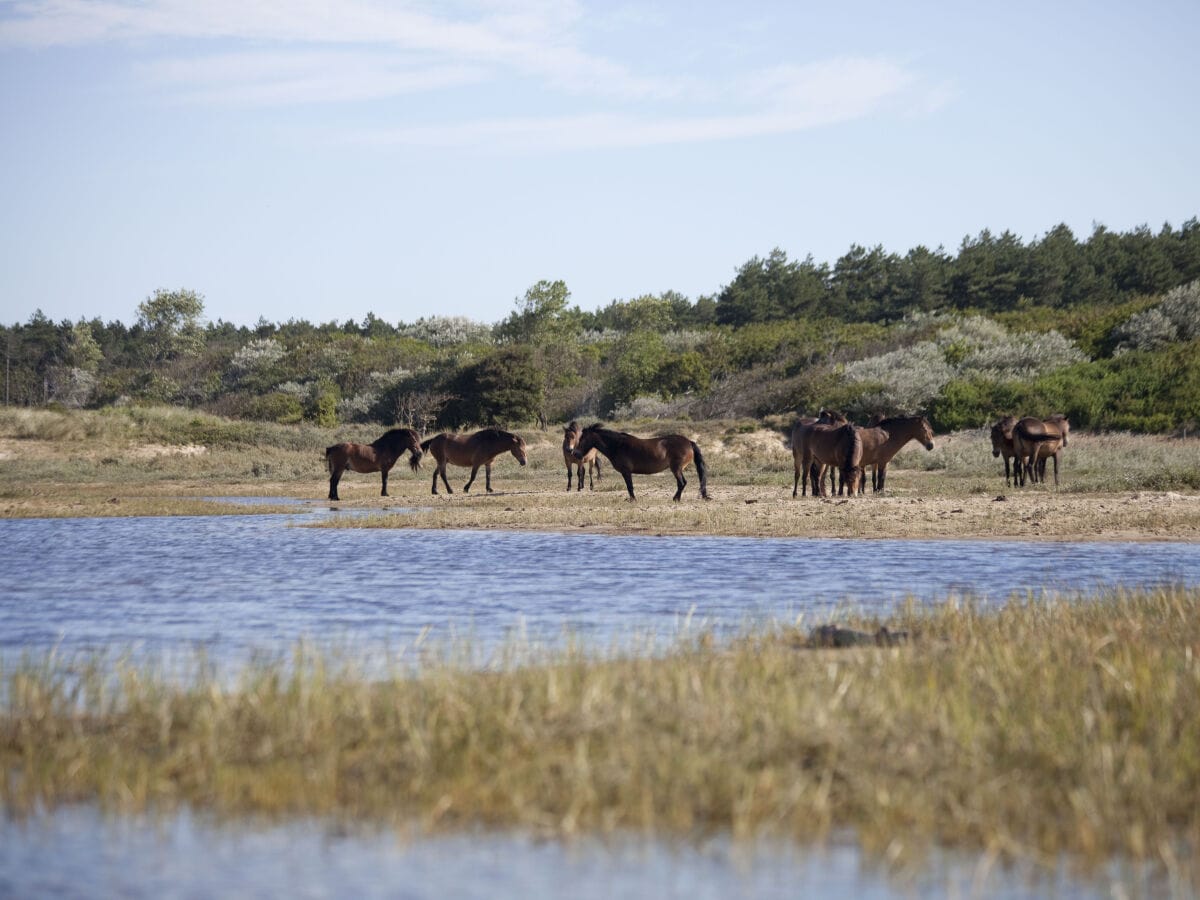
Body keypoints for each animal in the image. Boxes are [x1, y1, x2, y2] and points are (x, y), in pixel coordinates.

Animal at [568, 422, 700, 501]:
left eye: (582, 439)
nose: (575, 453)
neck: (617, 446)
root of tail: (689, 442)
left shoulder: (626, 472)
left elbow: (629, 486)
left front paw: (633, 500)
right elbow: (629, 486)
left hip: (676, 469)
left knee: (681, 483)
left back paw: (675, 499)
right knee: (682, 483)